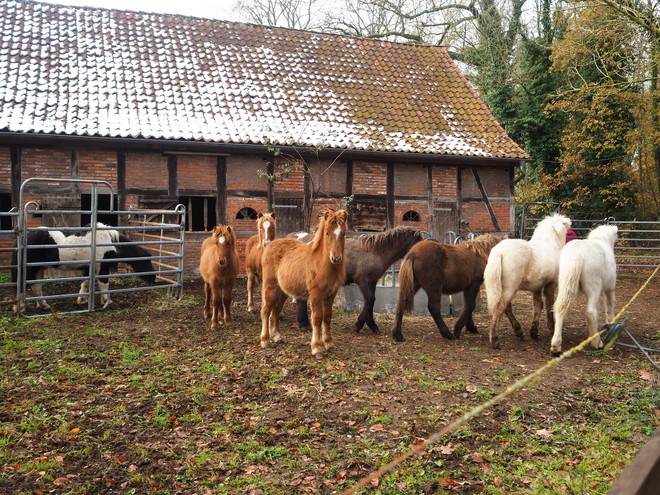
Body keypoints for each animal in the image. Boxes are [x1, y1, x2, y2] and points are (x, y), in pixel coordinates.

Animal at [260, 209, 348, 356]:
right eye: (327, 233)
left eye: (343, 233)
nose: (336, 258)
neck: (321, 263)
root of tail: (270, 245)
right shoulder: (315, 294)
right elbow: (317, 318)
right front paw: (316, 348)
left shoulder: (331, 293)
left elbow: (327, 317)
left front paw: (329, 344)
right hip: (270, 286)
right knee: (266, 309)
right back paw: (265, 341)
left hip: (282, 291)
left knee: (276, 310)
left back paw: (277, 336)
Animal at [292, 229, 428, 334]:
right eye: (418, 244)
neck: (374, 252)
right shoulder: (363, 281)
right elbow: (370, 300)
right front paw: (359, 324)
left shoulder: (372, 282)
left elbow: (371, 302)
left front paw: (372, 325)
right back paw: (304, 325)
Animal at [482, 213, 568, 348]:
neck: (550, 245)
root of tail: (500, 252)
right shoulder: (551, 285)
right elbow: (549, 306)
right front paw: (552, 329)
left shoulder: (537, 287)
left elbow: (538, 305)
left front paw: (534, 332)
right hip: (511, 287)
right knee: (500, 308)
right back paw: (495, 339)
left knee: (506, 308)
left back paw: (519, 331)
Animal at [548, 225, 620, 356]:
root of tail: (577, 255)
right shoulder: (609, 290)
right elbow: (609, 309)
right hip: (594, 288)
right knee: (590, 312)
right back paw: (597, 343)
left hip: (565, 285)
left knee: (560, 309)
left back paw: (556, 346)